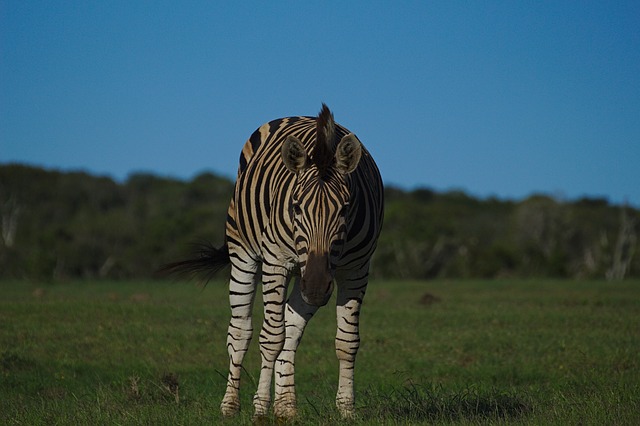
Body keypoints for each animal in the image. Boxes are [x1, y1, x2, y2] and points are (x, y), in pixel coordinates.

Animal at [165, 104, 383, 419]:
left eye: (344, 208)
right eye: (296, 207)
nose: (316, 287)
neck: (324, 146)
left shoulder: (356, 269)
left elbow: (346, 341)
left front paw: (346, 410)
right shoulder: (276, 263)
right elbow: (270, 338)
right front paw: (260, 409)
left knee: (290, 330)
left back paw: (286, 406)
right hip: (245, 255)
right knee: (241, 331)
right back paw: (232, 405)